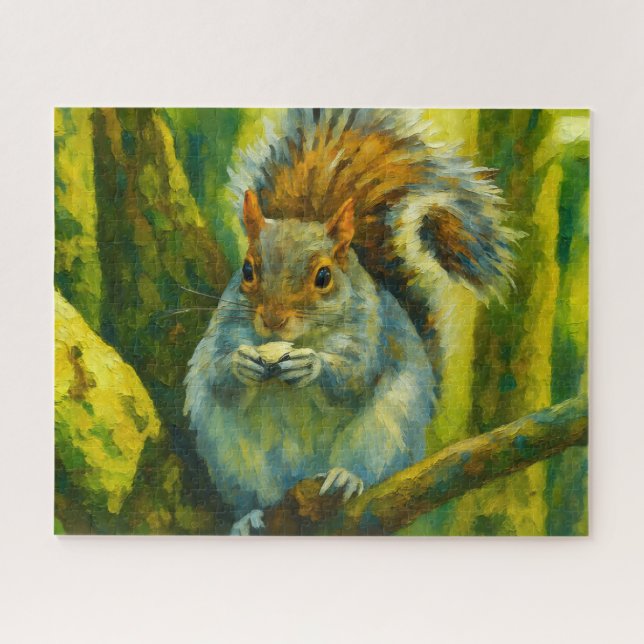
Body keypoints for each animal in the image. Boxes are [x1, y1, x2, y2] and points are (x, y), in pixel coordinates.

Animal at [183, 109, 517, 534]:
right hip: (233, 459)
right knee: (252, 492)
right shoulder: (224, 329)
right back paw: (249, 516)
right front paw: (242, 364)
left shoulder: (371, 333)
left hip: (386, 434)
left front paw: (312, 365)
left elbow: (354, 376)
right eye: (247, 271)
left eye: (324, 276)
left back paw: (346, 477)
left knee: (369, 466)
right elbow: (218, 375)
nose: (273, 321)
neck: (306, 336)